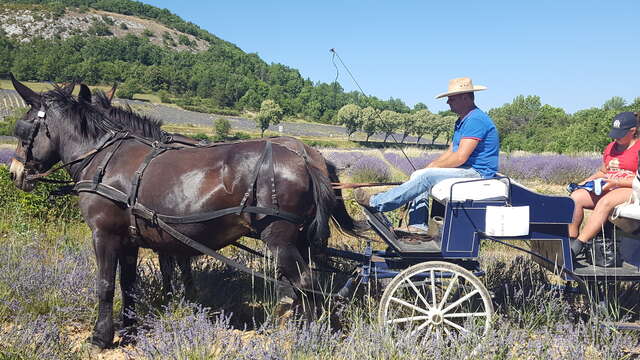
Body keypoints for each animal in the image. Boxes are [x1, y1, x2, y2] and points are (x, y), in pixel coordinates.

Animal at [8, 76, 360, 348]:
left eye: (22, 128)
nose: (14, 173)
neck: (103, 158)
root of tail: (305, 158)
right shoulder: (132, 239)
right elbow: (129, 283)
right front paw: (132, 328)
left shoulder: (105, 235)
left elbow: (106, 285)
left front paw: (101, 337)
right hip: (298, 239)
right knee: (301, 285)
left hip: (280, 239)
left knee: (305, 282)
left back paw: (308, 337)